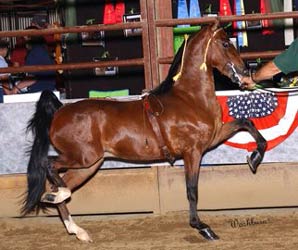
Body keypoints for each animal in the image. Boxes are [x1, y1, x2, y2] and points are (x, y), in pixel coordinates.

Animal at [22, 21, 266, 242]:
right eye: (225, 43)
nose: (245, 71)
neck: (189, 98)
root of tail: (60, 110)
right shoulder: (193, 152)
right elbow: (192, 190)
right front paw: (202, 228)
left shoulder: (214, 137)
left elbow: (247, 123)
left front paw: (254, 158)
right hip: (82, 157)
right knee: (50, 166)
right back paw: (57, 198)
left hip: (88, 165)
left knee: (59, 185)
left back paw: (77, 229)